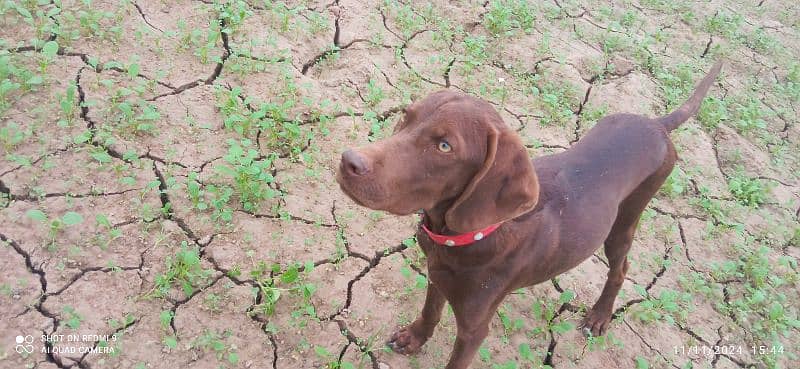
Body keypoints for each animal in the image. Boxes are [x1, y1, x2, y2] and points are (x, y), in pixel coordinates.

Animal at [334, 61, 720, 366]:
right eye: (406, 116)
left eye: (444, 146)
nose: (349, 161)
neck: (464, 237)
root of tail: (658, 125)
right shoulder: (437, 275)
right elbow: (430, 311)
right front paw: (414, 337)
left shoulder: (475, 328)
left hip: (626, 219)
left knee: (620, 268)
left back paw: (599, 316)